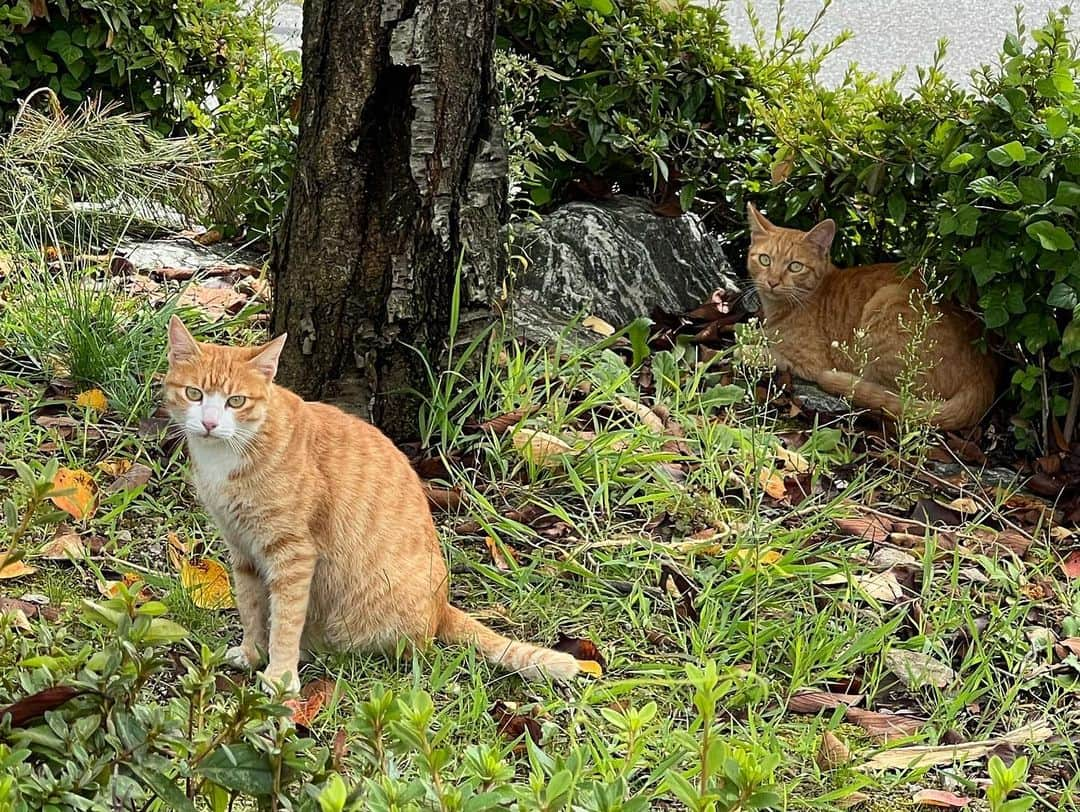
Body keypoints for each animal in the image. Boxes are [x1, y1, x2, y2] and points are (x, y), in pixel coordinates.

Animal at [163, 317, 578, 691]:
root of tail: (442, 606)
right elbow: (251, 608)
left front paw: (280, 673)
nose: (210, 424)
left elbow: (285, 619)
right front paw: (252, 653)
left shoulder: (293, 555)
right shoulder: (242, 549)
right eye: (194, 394)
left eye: (236, 401)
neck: (229, 454)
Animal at [751, 204, 993, 431]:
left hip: (886, 304)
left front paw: (750, 349)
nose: (772, 282)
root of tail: (984, 368)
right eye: (765, 260)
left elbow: (768, 353)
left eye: (795, 266)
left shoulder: (810, 362)